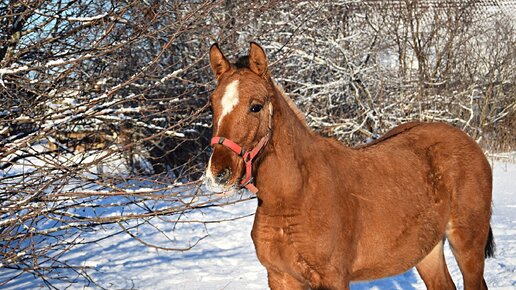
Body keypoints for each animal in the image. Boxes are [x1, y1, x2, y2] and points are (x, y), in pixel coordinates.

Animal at [204, 42, 494, 288]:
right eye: (212, 105)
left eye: (255, 106)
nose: (219, 174)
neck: (295, 197)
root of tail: (470, 144)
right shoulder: (281, 277)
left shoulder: (334, 278)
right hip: (426, 250)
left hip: (468, 245)